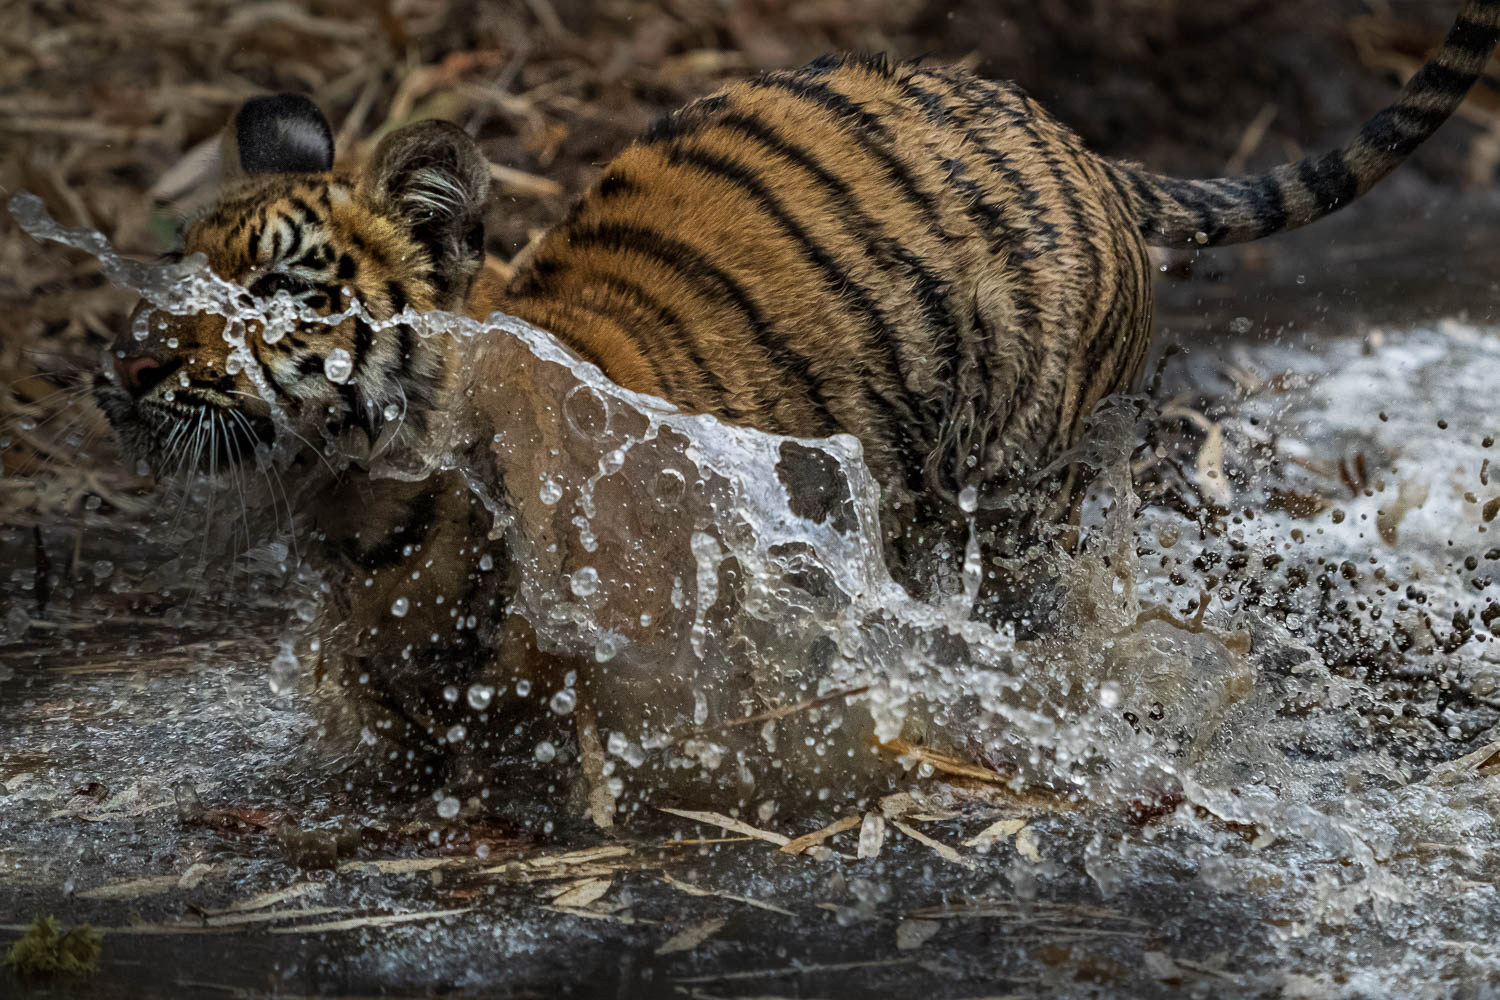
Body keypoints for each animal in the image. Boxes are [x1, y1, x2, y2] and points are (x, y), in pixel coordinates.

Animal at [92, 2, 1500, 788]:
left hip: (1008, 489)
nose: (131, 368)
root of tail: (1081, 142)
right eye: (183, 272)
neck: (369, 508)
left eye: (281, 292)